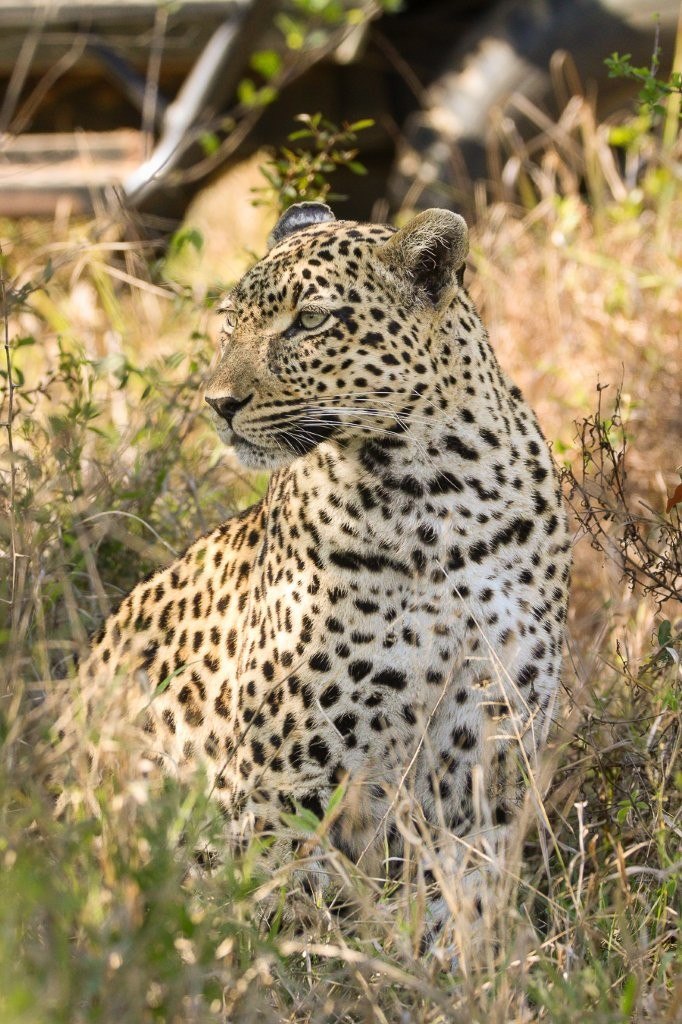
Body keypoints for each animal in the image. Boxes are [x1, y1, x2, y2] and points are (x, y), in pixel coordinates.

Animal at [80, 202, 571, 949]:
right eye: (230, 322)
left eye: (309, 321)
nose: (217, 402)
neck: (440, 495)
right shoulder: (282, 778)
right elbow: (287, 916)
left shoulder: (486, 762)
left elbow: (464, 903)